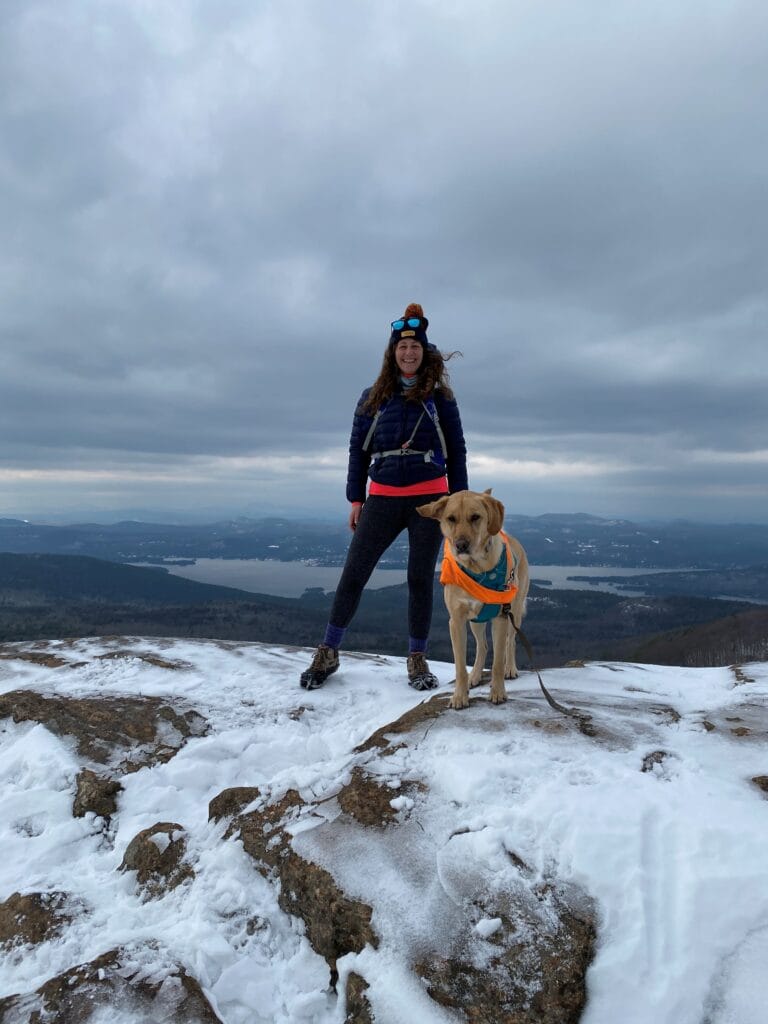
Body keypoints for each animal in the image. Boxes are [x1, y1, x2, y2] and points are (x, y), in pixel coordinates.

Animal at [421, 491, 528, 708]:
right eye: (451, 518)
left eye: (475, 517)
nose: (461, 545)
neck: (476, 567)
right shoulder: (457, 621)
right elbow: (460, 666)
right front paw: (459, 696)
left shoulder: (501, 618)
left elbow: (497, 662)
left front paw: (498, 692)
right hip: (476, 620)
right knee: (482, 646)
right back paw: (476, 675)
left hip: (514, 611)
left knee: (510, 642)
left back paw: (510, 668)